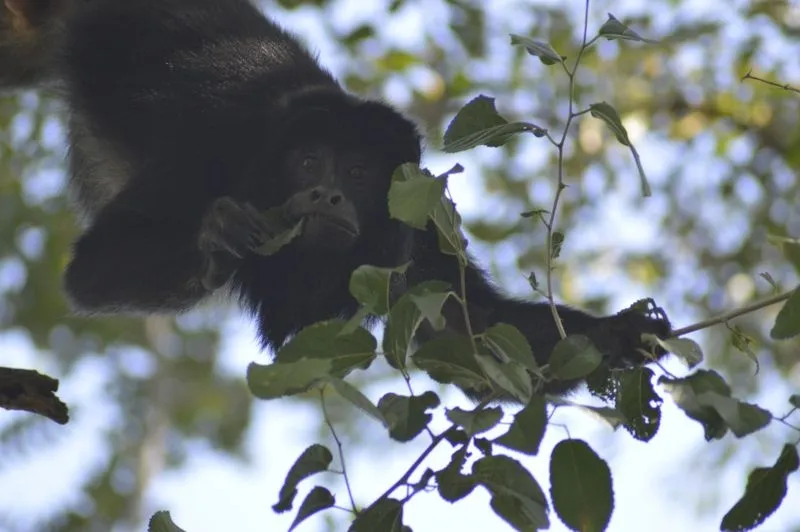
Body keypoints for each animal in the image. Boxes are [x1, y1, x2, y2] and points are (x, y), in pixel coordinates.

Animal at [1, 0, 671, 397]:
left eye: (355, 170)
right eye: (307, 162)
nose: (324, 194)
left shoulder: (417, 217)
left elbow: (474, 332)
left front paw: (622, 333)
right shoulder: (212, 151)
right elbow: (92, 270)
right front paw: (213, 238)